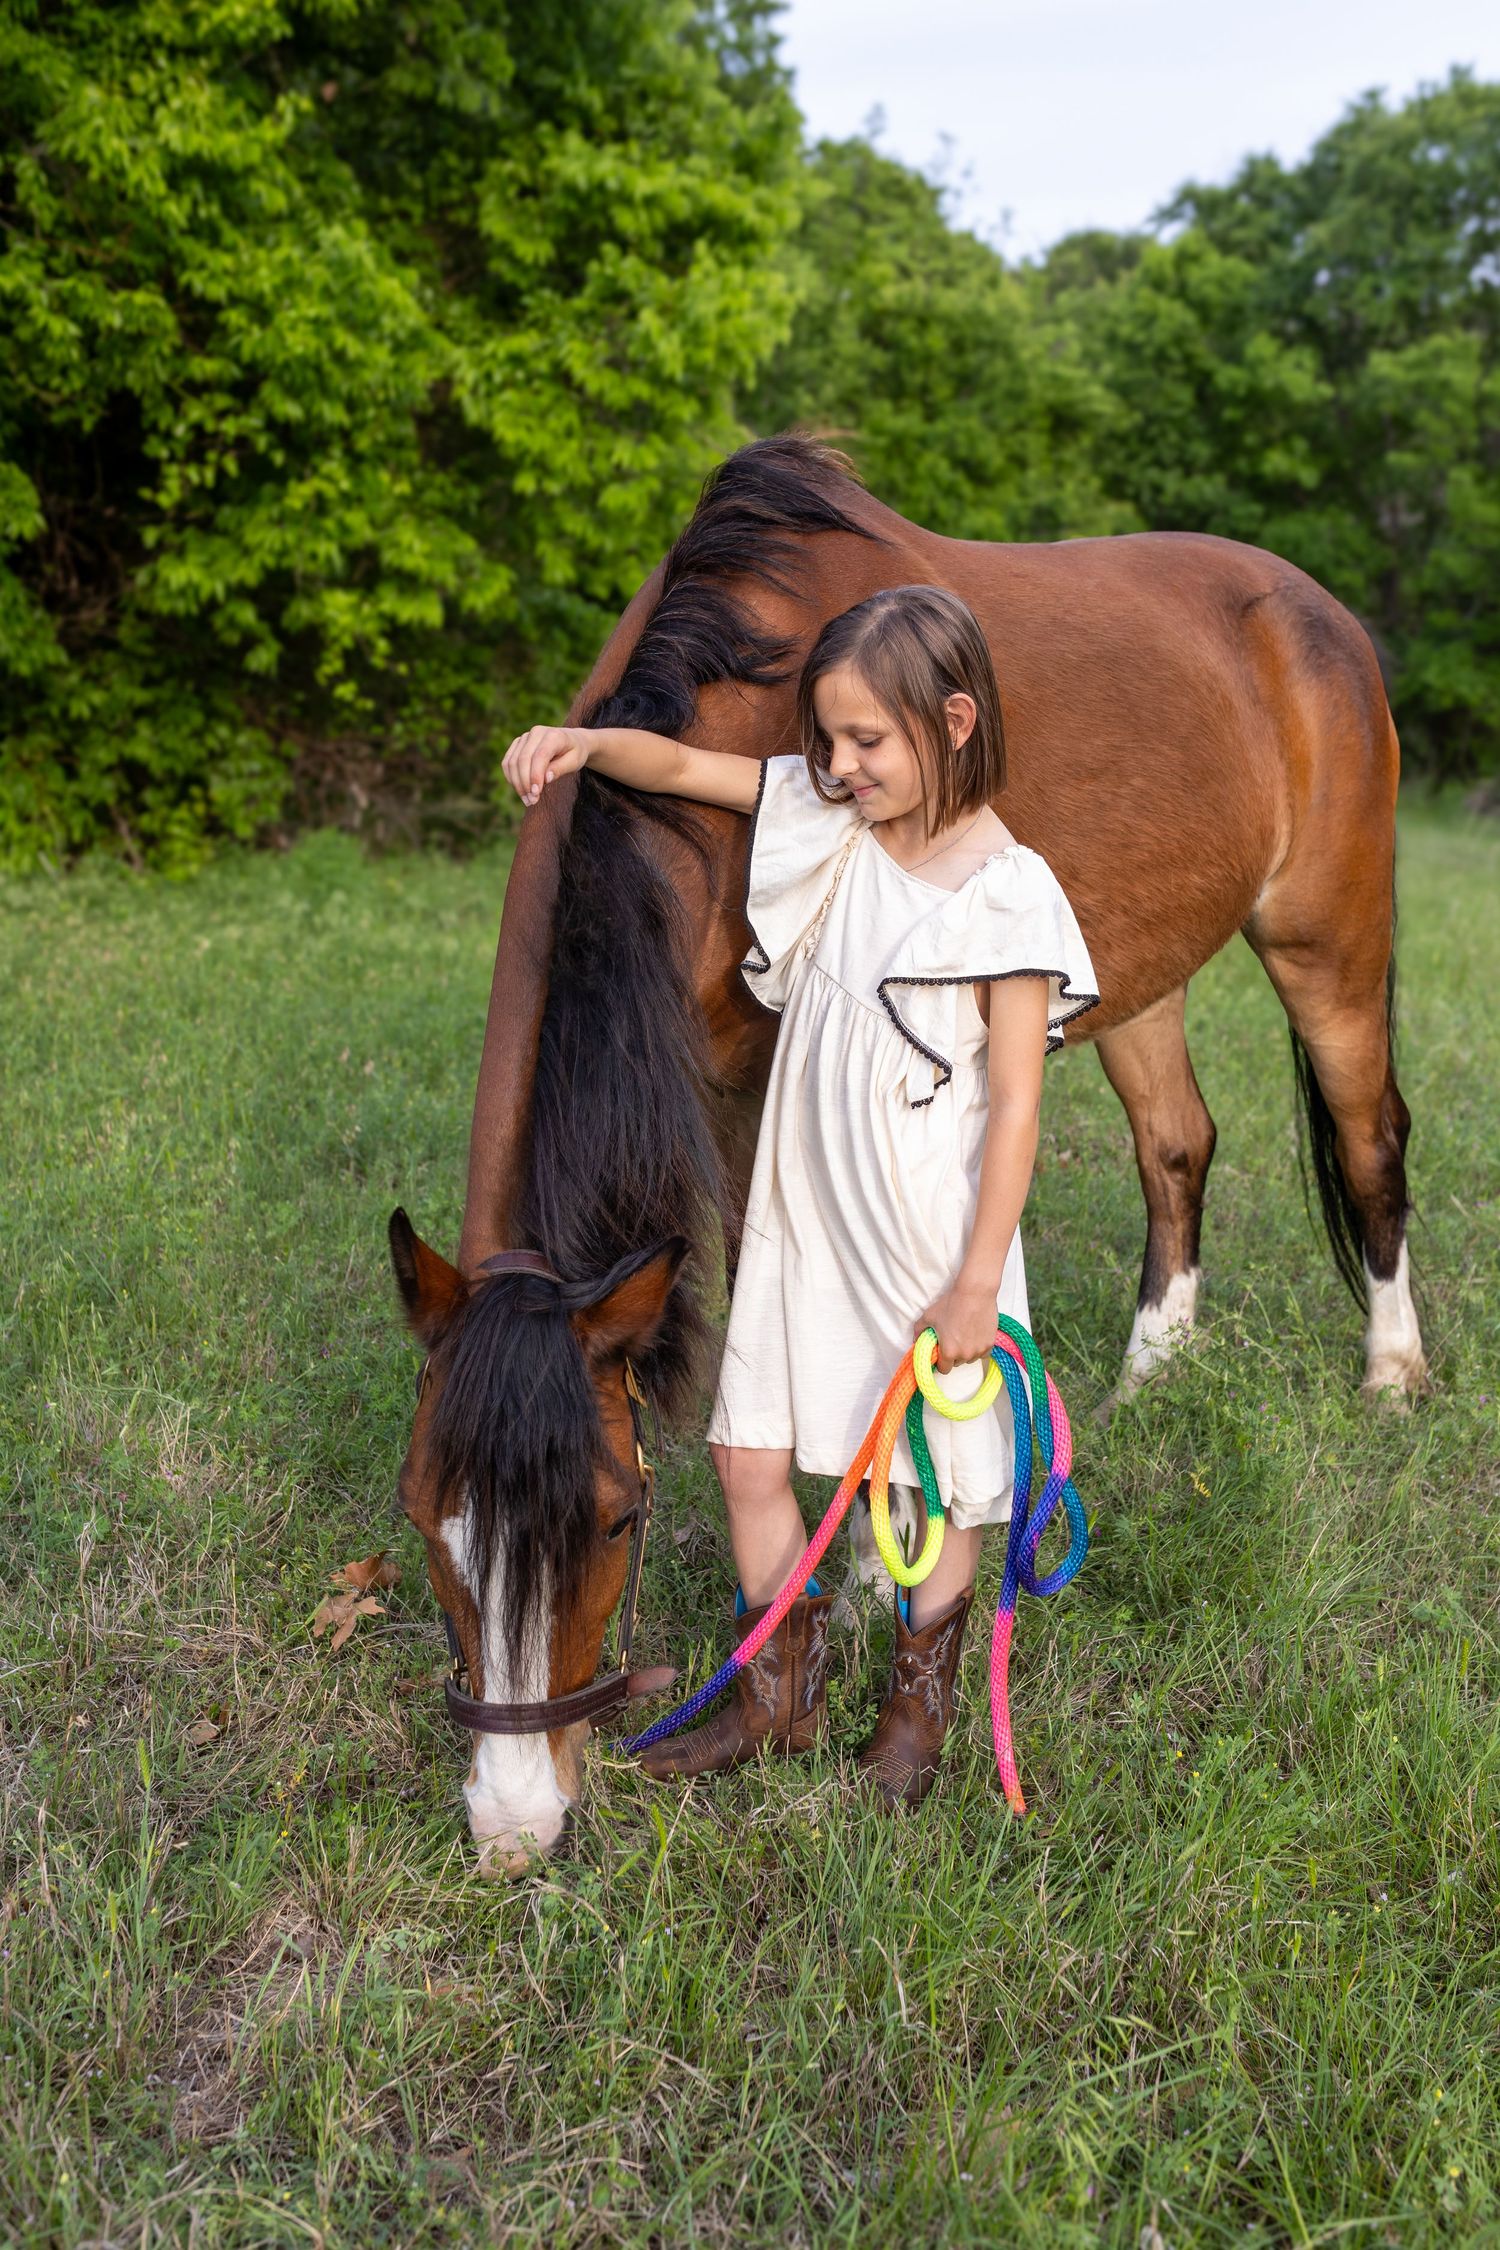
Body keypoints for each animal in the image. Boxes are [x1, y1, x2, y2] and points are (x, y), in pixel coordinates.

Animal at [388, 434, 1427, 1874]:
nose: (512, 1823)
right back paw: (1150, 1376)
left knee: (1369, 1134)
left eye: (614, 1519)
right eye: (423, 1512)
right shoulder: (729, 1085)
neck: (740, 710)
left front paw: (881, 1559)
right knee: (1177, 1147)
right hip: (1135, 972)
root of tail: (1318, 614)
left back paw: (1392, 1370)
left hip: (1327, 933)